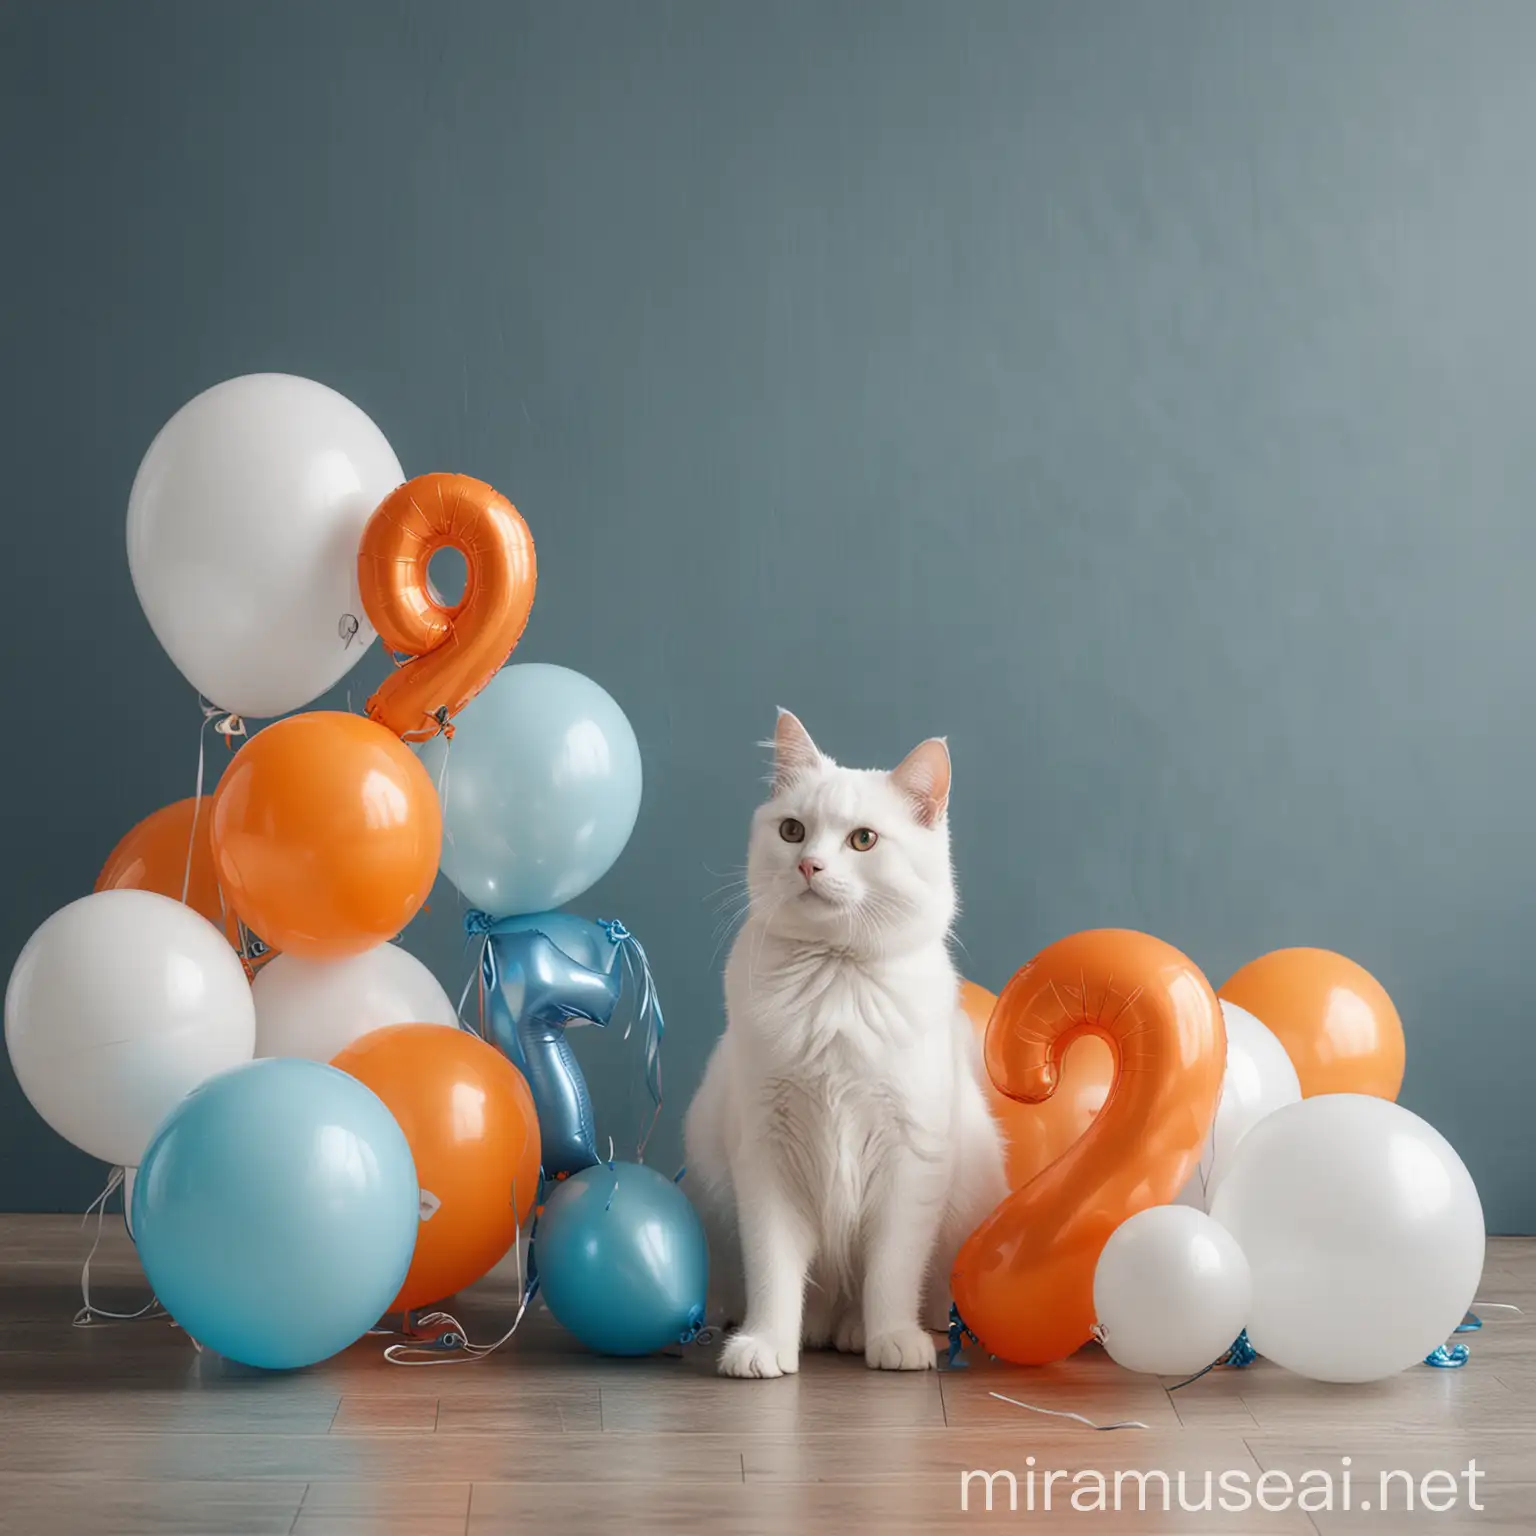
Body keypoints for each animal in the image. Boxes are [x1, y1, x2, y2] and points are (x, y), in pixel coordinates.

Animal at [688, 709, 1007, 1382]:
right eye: (792, 831)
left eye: (863, 841)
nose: (808, 865)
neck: (834, 982)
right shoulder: (767, 1153)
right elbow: (775, 1268)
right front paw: (766, 1344)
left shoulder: (911, 1157)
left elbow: (891, 1269)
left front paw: (893, 1340)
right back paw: (811, 1330)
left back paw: (861, 1331)